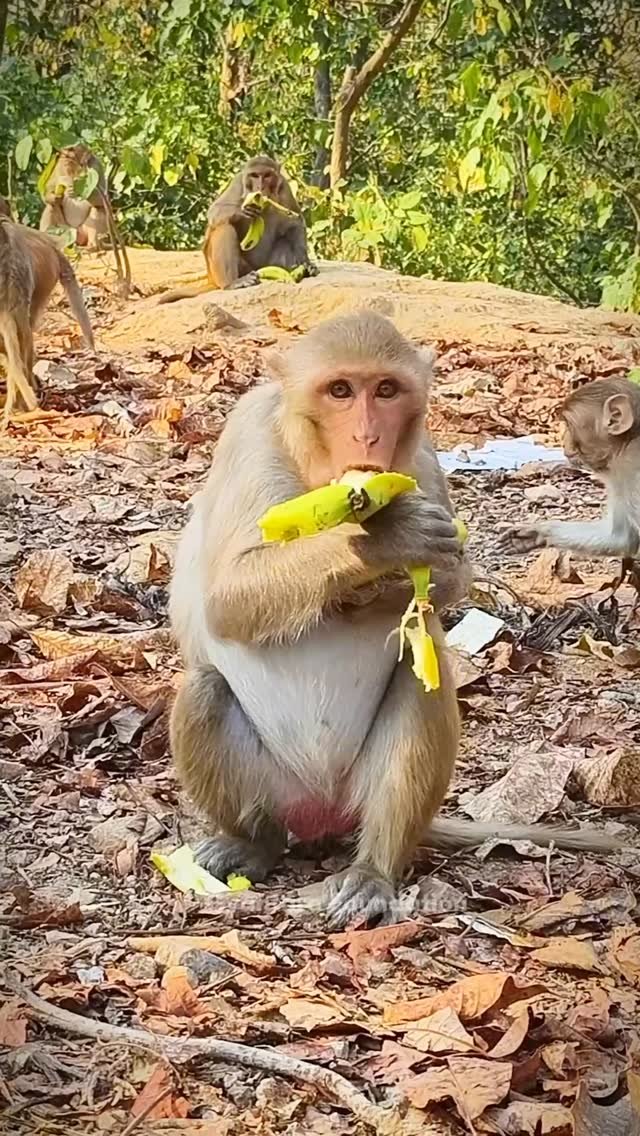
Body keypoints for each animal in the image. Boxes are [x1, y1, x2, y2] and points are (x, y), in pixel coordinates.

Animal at [158, 155, 313, 305]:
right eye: (255, 175)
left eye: (267, 175)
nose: (260, 186)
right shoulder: (238, 183)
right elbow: (215, 212)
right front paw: (243, 210)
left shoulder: (284, 187)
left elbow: (295, 222)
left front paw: (306, 264)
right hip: (224, 269)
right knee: (224, 227)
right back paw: (232, 283)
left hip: (264, 265)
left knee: (285, 240)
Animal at [169, 313, 623, 929]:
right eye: (340, 390)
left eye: (386, 390)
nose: (367, 438)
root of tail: (322, 813)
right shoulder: (249, 436)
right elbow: (226, 599)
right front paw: (384, 538)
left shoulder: (423, 453)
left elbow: (453, 577)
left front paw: (389, 577)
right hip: (277, 789)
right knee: (204, 690)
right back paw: (252, 843)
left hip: (360, 797)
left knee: (418, 669)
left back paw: (372, 871)